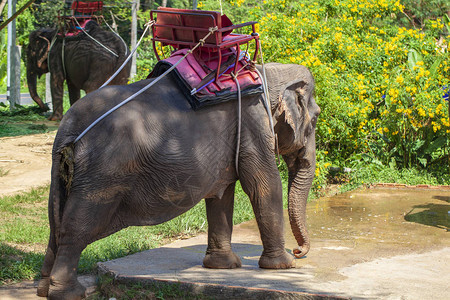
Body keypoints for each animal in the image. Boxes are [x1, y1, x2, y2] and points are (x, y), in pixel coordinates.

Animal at [37, 62, 320, 298]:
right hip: (101, 174)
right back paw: (68, 293)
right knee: (76, 228)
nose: (299, 251)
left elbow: (222, 194)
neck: (267, 72)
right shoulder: (253, 123)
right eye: (315, 118)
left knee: (54, 224)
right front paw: (283, 265)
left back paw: (43, 288)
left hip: (60, 172)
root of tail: (70, 130)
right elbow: (264, 184)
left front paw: (222, 267)